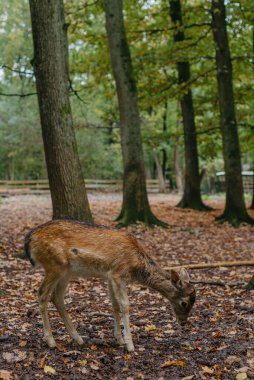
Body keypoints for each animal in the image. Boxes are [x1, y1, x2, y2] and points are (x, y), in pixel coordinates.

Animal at [24, 220, 195, 354]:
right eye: (184, 303)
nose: (183, 322)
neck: (136, 266)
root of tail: (29, 238)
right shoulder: (118, 274)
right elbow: (125, 305)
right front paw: (130, 345)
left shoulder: (110, 276)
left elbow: (114, 305)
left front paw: (119, 339)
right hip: (54, 266)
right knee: (42, 293)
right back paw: (50, 340)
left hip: (67, 271)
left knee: (57, 296)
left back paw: (77, 338)